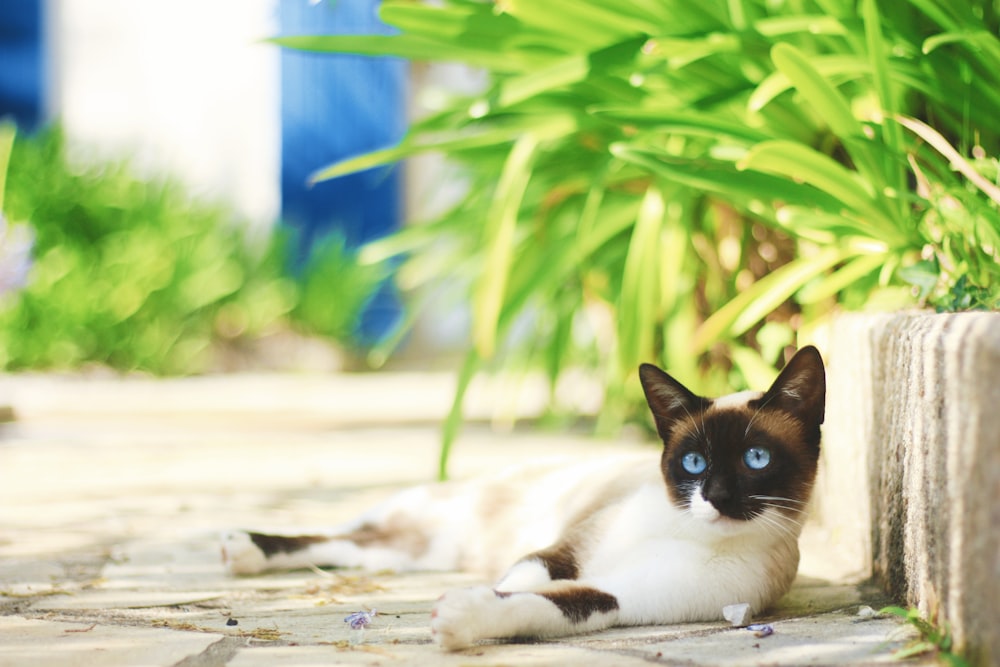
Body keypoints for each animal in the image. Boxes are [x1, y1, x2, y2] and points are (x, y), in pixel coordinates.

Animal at [223, 348, 824, 648]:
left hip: (413, 551)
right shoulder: (565, 550)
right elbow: (520, 581)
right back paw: (243, 547)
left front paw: (464, 618)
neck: (685, 533)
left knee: (353, 545)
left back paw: (246, 551)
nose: (717, 497)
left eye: (756, 459)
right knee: (341, 532)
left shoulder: (619, 597)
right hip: (424, 524)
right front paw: (477, 600)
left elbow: (543, 603)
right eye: (694, 464)